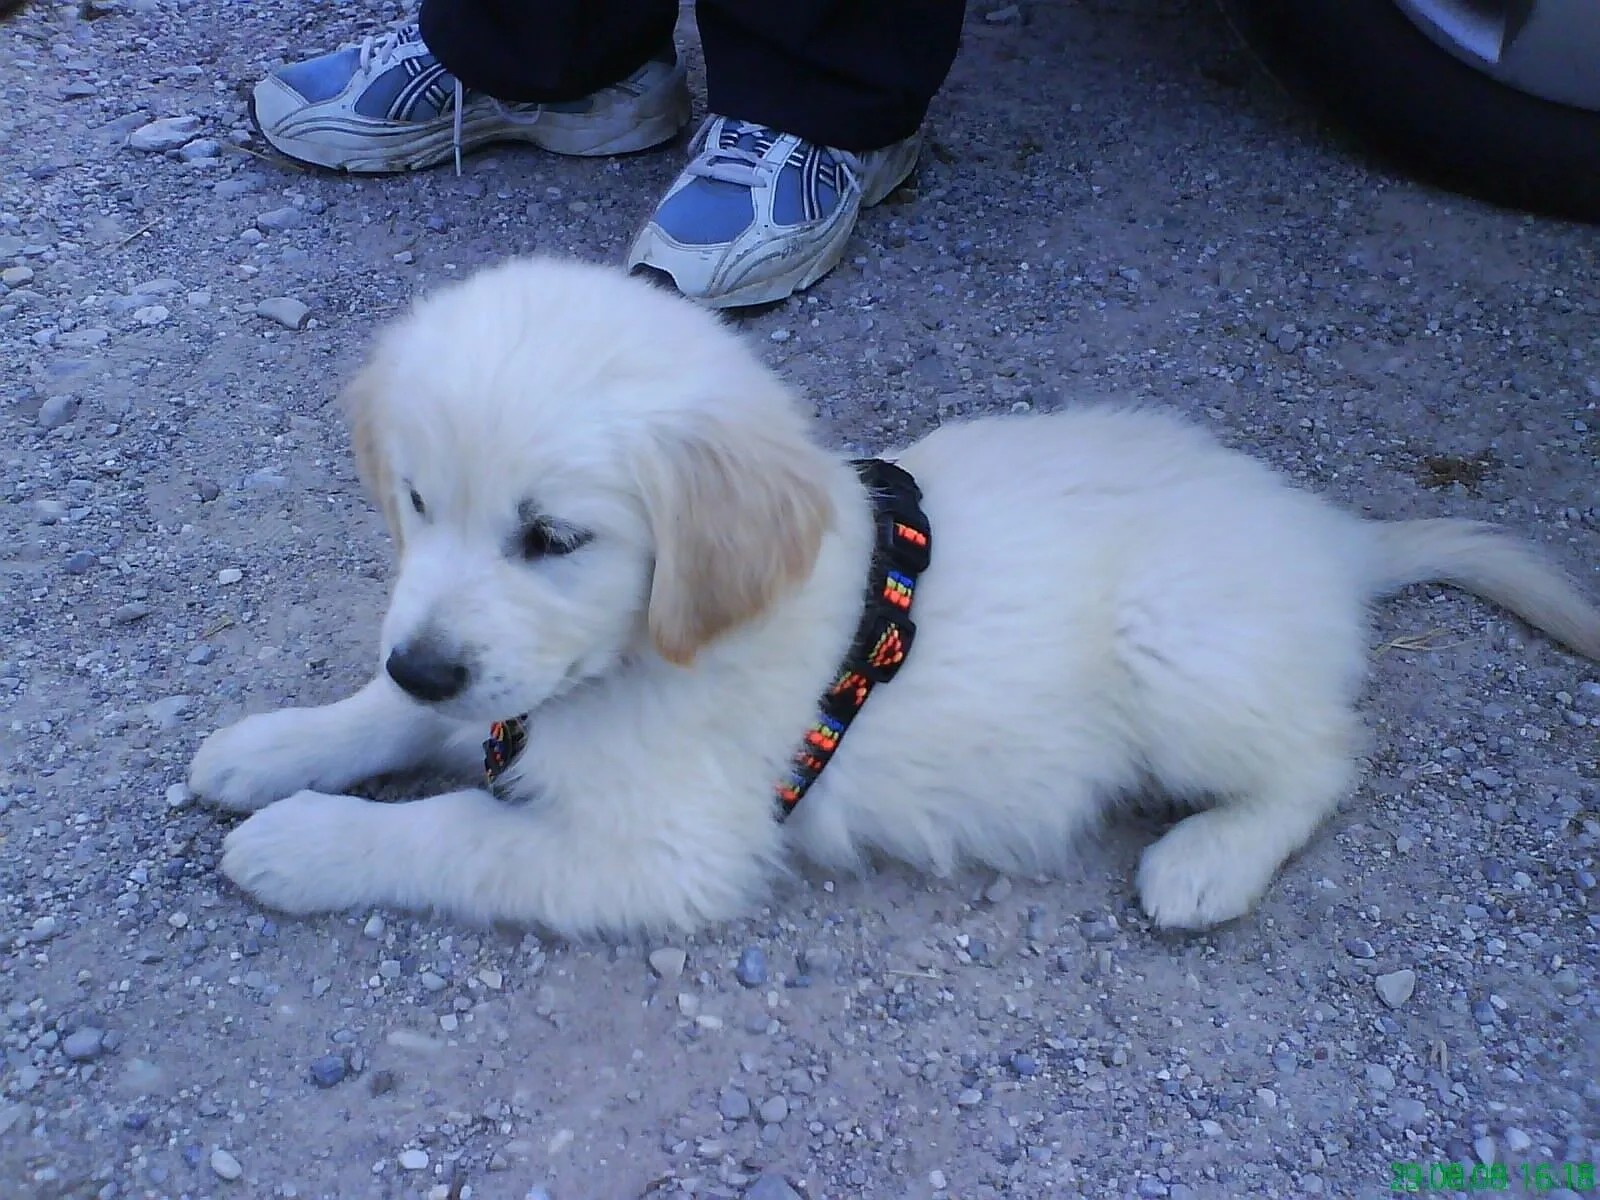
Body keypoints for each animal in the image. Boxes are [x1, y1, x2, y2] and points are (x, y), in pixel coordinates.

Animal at [189, 254, 1600, 939]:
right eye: (418, 502)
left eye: (552, 538)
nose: (428, 661)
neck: (651, 653)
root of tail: (1330, 535)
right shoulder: (492, 687)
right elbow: (387, 715)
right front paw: (270, 747)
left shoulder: (662, 852)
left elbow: (452, 833)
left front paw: (303, 842)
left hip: (1181, 652)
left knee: (1326, 756)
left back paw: (1207, 861)